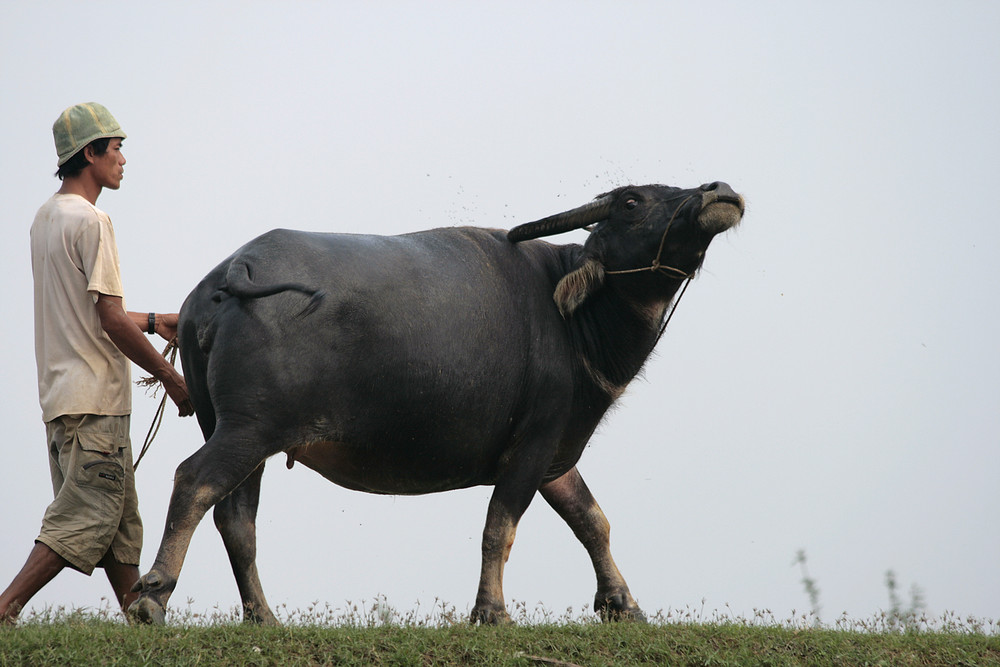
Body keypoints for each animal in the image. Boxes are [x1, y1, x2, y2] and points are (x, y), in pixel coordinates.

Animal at [129, 181, 744, 628]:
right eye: (632, 200)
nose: (718, 191)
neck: (573, 317)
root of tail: (234, 269)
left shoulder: (554, 454)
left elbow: (592, 520)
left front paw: (623, 605)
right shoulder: (533, 443)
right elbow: (500, 526)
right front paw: (492, 612)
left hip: (237, 430)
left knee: (236, 517)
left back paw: (264, 618)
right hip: (250, 429)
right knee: (194, 483)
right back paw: (152, 597)